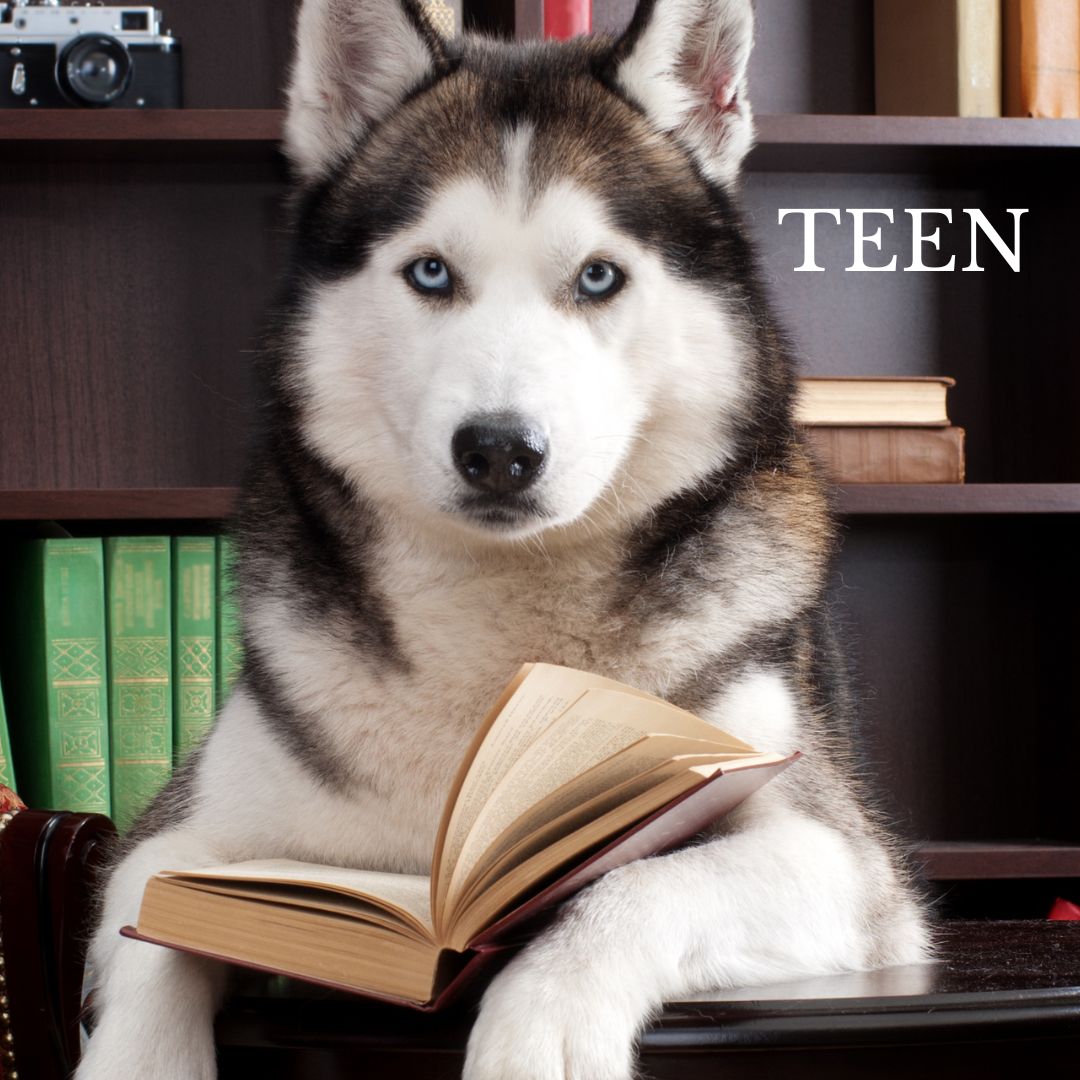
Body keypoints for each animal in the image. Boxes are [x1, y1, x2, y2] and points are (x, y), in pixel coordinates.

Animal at [79, 0, 933, 1075]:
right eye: (430, 271)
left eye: (599, 277)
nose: (498, 450)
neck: (498, 640)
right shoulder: (186, 831)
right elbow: (153, 916)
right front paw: (137, 1057)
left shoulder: (844, 865)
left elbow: (635, 882)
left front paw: (543, 1025)